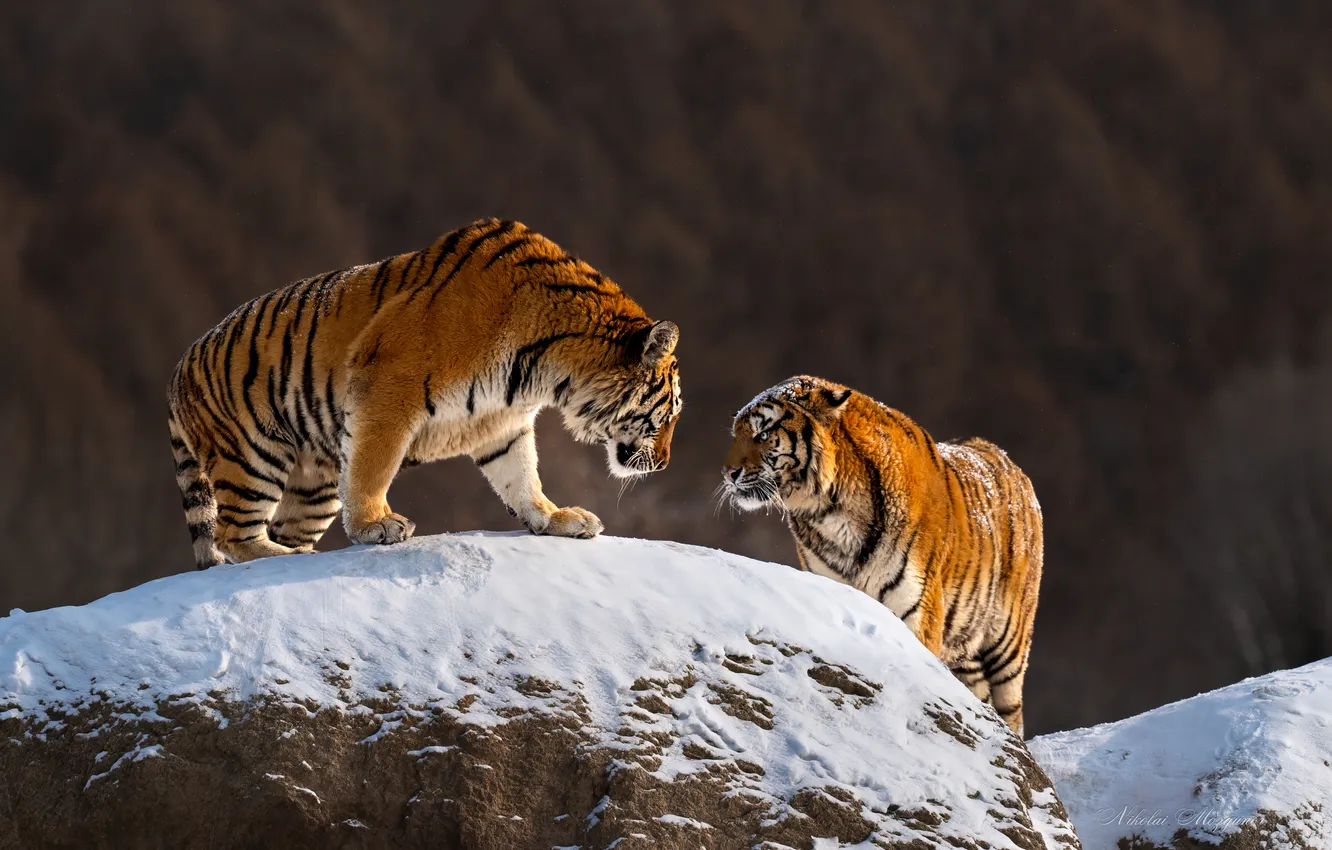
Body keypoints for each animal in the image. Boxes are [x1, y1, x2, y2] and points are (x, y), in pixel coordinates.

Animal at [167, 218, 682, 570]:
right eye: (670, 413)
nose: (663, 465)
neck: (545, 369)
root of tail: (179, 366)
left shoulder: (504, 422)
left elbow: (522, 479)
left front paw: (554, 519)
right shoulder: (389, 391)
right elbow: (374, 466)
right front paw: (376, 524)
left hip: (314, 481)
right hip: (254, 453)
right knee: (233, 536)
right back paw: (286, 557)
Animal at [721, 376, 1042, 736]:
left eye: (762, 434)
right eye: (736, 434)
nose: (728, 473)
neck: (830, 510)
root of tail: (1006, 458)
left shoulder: (917, 607)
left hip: (1007, 647)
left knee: (1010, 713)